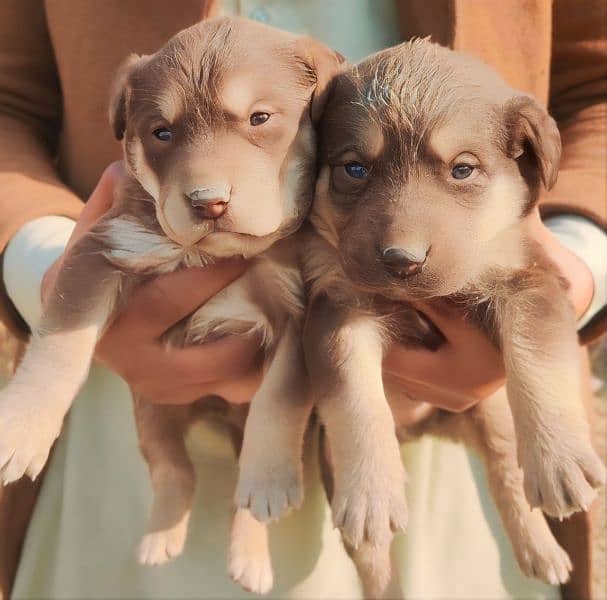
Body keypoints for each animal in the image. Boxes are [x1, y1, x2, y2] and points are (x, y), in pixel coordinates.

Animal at [304, 39, 607, 596]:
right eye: (354, 169)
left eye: (462, 170)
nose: (402, 260)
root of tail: (424, 430)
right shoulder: (338, 310)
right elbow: (355, 396)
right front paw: (371, 490)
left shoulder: (530, 284)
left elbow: (537, 363)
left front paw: (560, 460)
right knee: (372, 557)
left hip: (491, 413)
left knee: (508, 474)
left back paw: (542, 551)